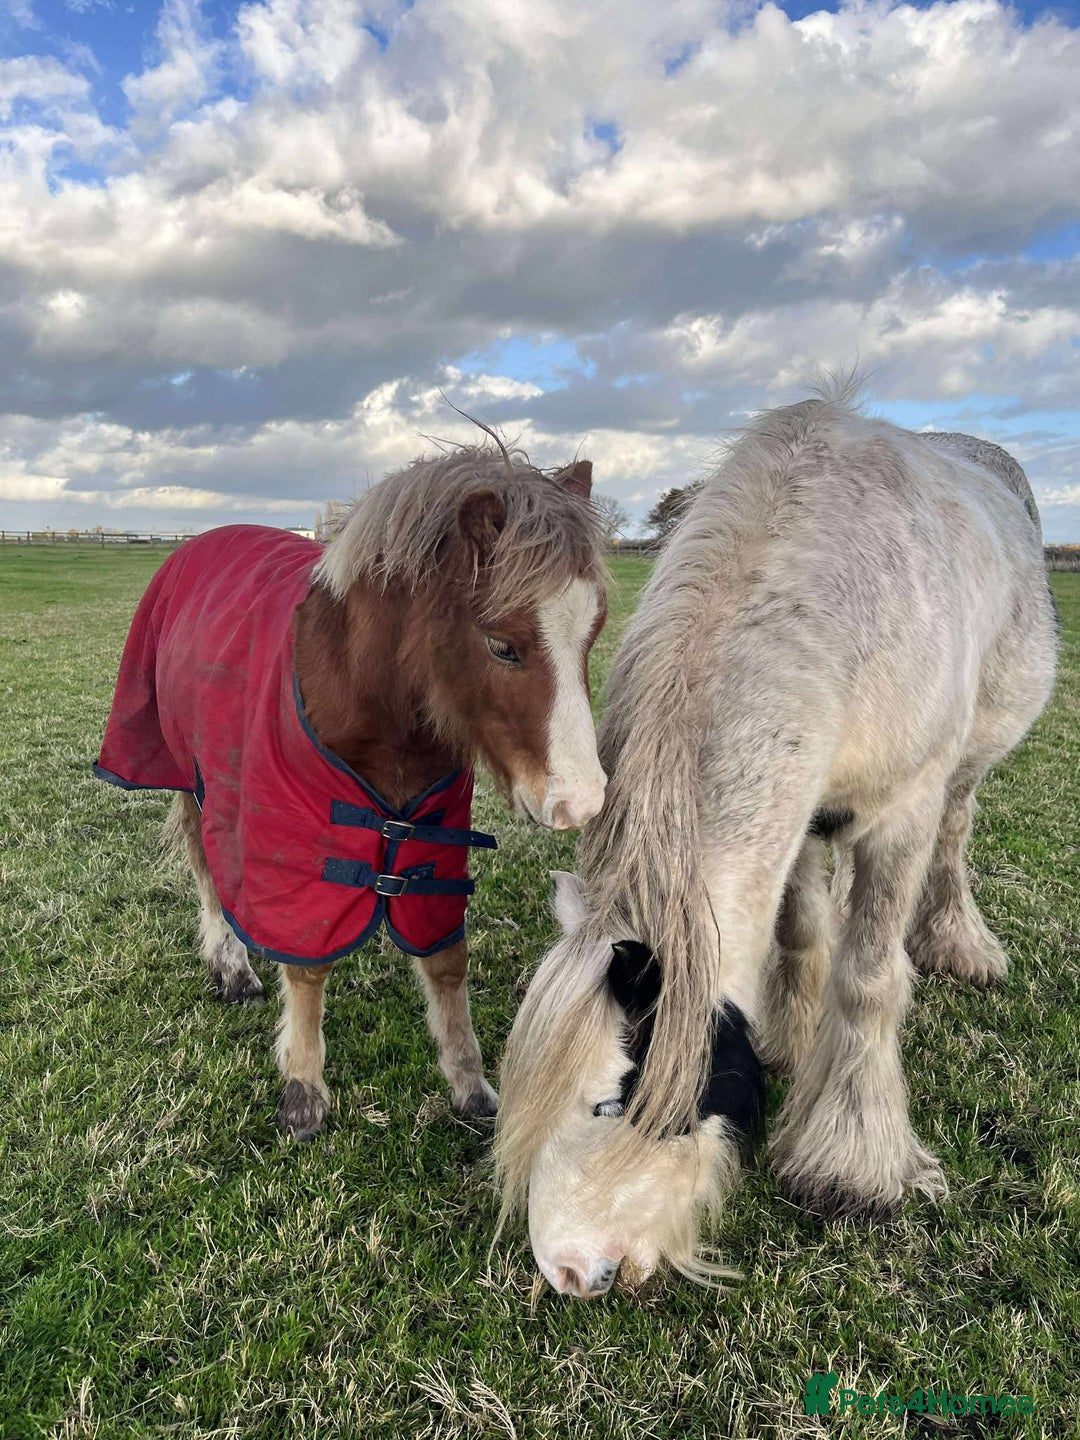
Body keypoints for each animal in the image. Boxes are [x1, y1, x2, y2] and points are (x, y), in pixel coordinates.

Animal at [94, 444, 608, 1139]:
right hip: (191, 773)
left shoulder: (433, 834)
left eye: (594, 632)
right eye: (503, 646)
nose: (581, 801)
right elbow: (307, 959)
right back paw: (232, 967)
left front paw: (471, 1087)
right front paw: (304, 1091)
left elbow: (446, 957)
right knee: (207, 866)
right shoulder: (295, 843)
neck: (368, 695)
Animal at [494, 393, 1058, 1297]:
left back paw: (957, 944)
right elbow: (798, 931)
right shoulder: (798, 817)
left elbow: (868, 979)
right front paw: (788, 1048)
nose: (571, 1273)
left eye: (611, 1103)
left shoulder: (899, 813)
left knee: (953, 838)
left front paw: (853, 1161)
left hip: (966, 770)